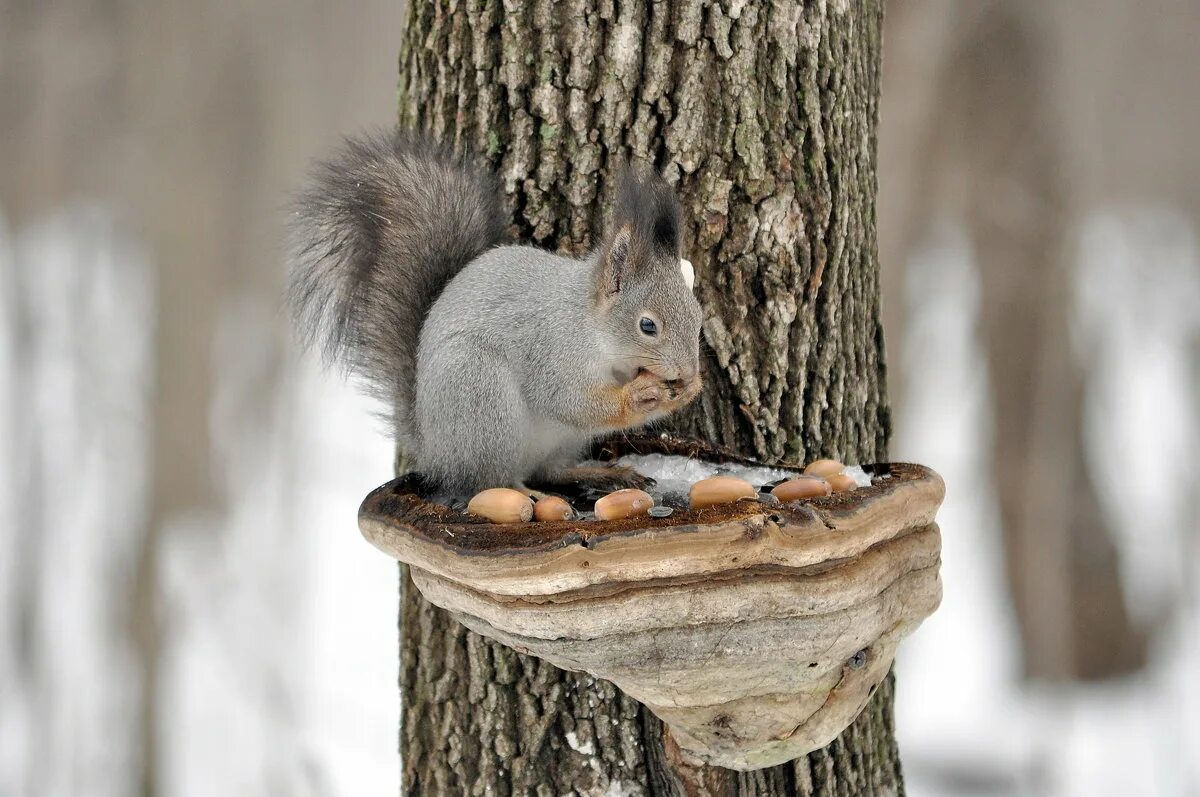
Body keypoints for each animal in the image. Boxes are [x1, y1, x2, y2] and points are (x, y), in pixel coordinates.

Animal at [288, 130, 700, 494]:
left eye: (697, 319)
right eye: (647, 325)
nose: (688, 372)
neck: (593, 331)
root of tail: (435, 451)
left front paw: (688, 390)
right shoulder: (550, 351)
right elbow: (569, 401)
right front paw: (640, 396)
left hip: (559, 439)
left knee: (549, 471)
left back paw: (601, 475)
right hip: (483, 400)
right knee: (488, 478)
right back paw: (523, 494)